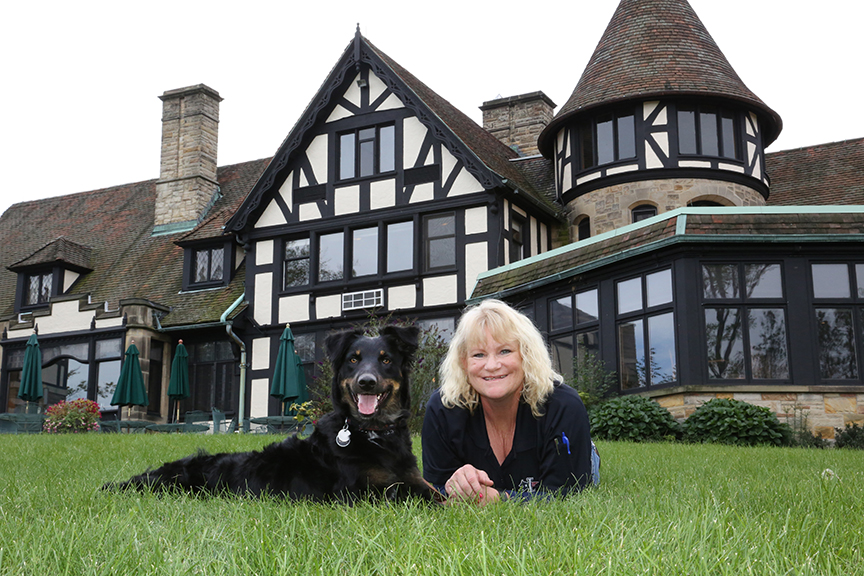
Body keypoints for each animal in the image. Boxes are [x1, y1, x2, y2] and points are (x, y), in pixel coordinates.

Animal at [107, 326, 438, 502]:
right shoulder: (366, 491)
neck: (372, 433)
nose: (366, 382)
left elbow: (436, 492)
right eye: (354, 360)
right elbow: (431, 500)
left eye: (386, 360)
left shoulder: (413, 480)